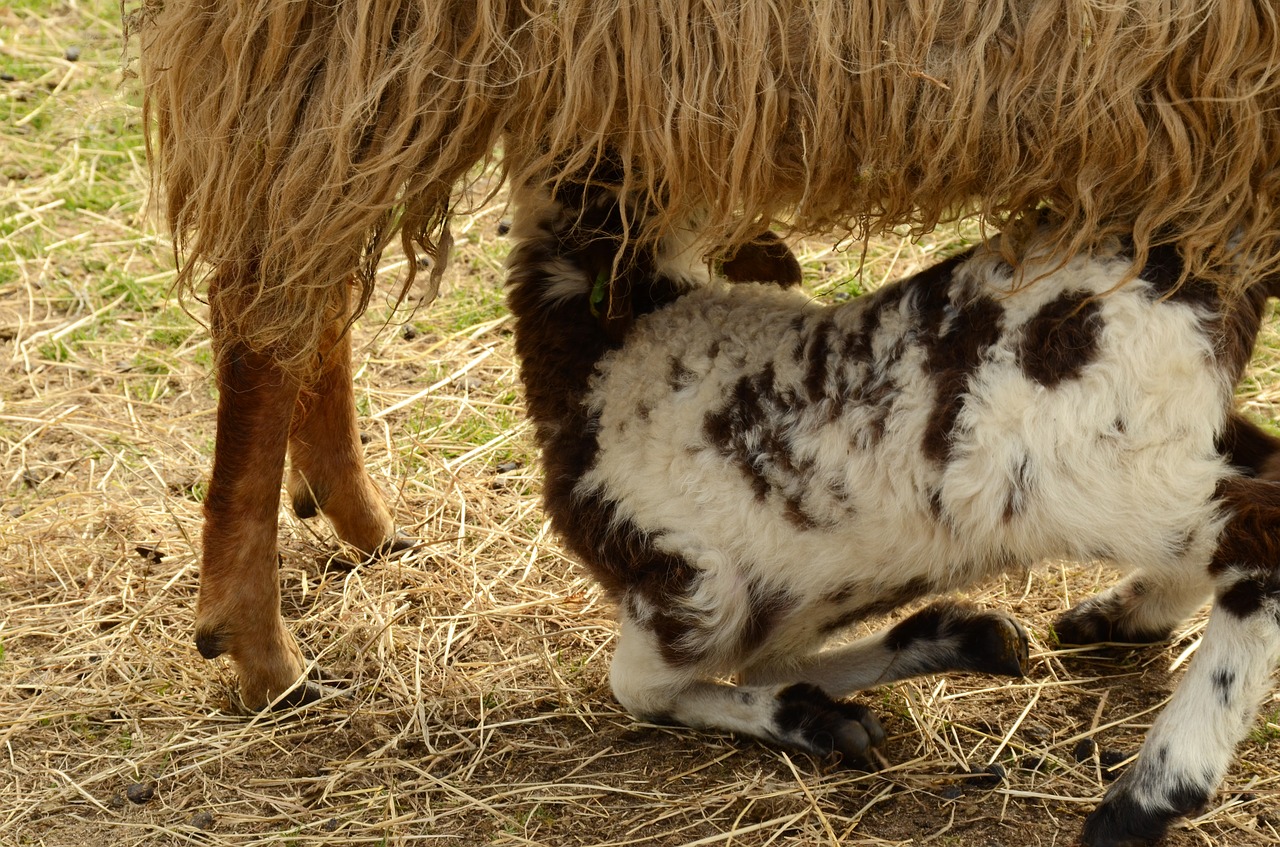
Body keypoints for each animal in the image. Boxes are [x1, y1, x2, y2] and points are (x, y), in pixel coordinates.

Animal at [506, 177, 1280, 847]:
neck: (608, 345)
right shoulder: (783, 596)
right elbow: (765, 663)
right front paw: (953, 643)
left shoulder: (684, 587)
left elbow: (640, 690)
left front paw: (811, 718)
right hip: (1168, 446)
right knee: (1256, 481)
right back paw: (1112, 618)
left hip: (1098, 471)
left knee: (1257, 540)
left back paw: (1148, 795)